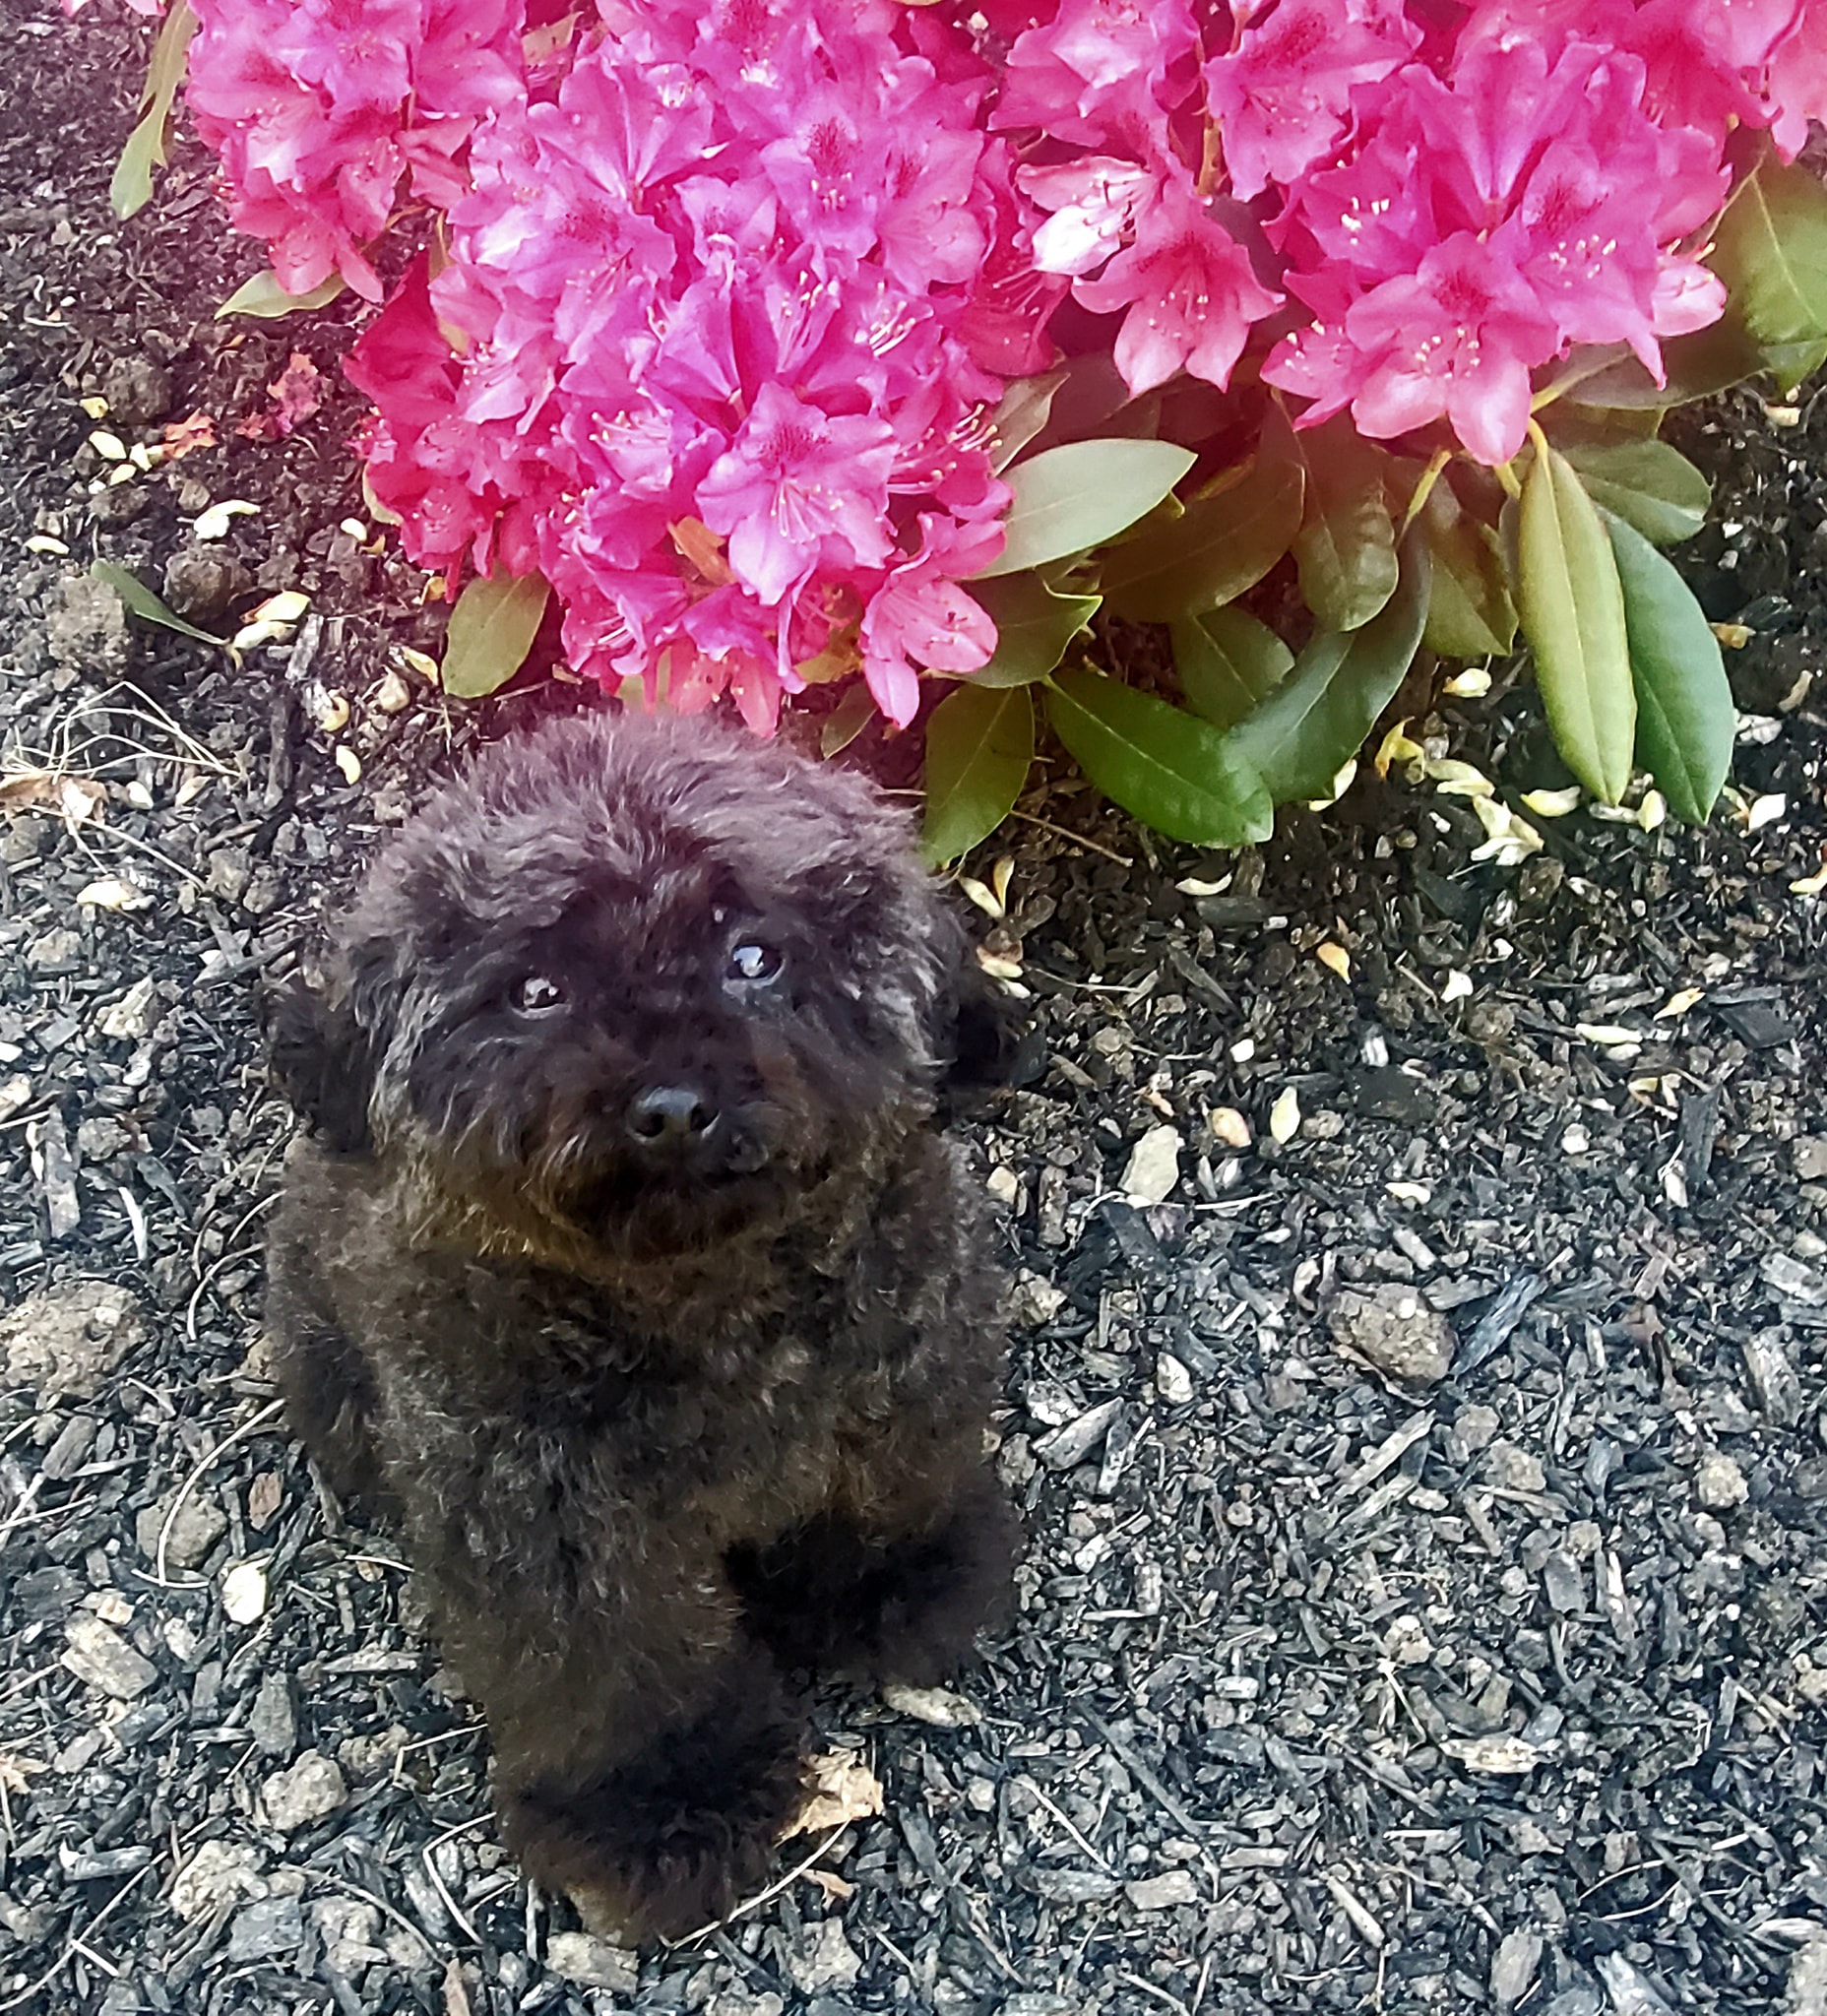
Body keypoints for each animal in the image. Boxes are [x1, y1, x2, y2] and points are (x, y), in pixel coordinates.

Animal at [260, 705, 1012, 1935]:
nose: (670, 1106)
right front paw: (660, 1802)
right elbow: (618, 1670)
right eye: (534, 990)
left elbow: (884, 1492)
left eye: (753, 954)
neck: (707, 1305)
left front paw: (892, 1583)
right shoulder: (548, 1522)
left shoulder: (904, 1370)